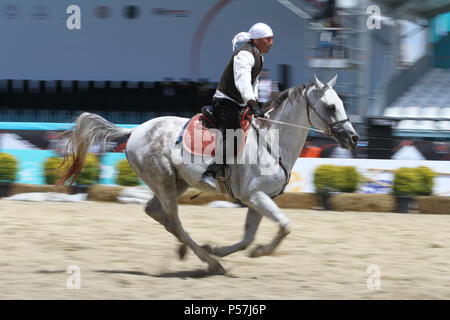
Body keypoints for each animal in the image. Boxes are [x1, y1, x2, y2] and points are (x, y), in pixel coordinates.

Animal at [58, 74, 358, 274]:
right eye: (331, 106)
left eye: (342, 103)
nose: (353, 138)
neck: (273, 141)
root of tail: (135, 131)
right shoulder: (255, 196)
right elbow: (285, 225)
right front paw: (256, 252)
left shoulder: (258, 199)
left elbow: (248, 237)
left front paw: (225, 249)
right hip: (164, 181)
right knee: (174, 220)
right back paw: (210, 262)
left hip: (176, 182)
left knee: (157, 213)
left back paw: (198, 253)